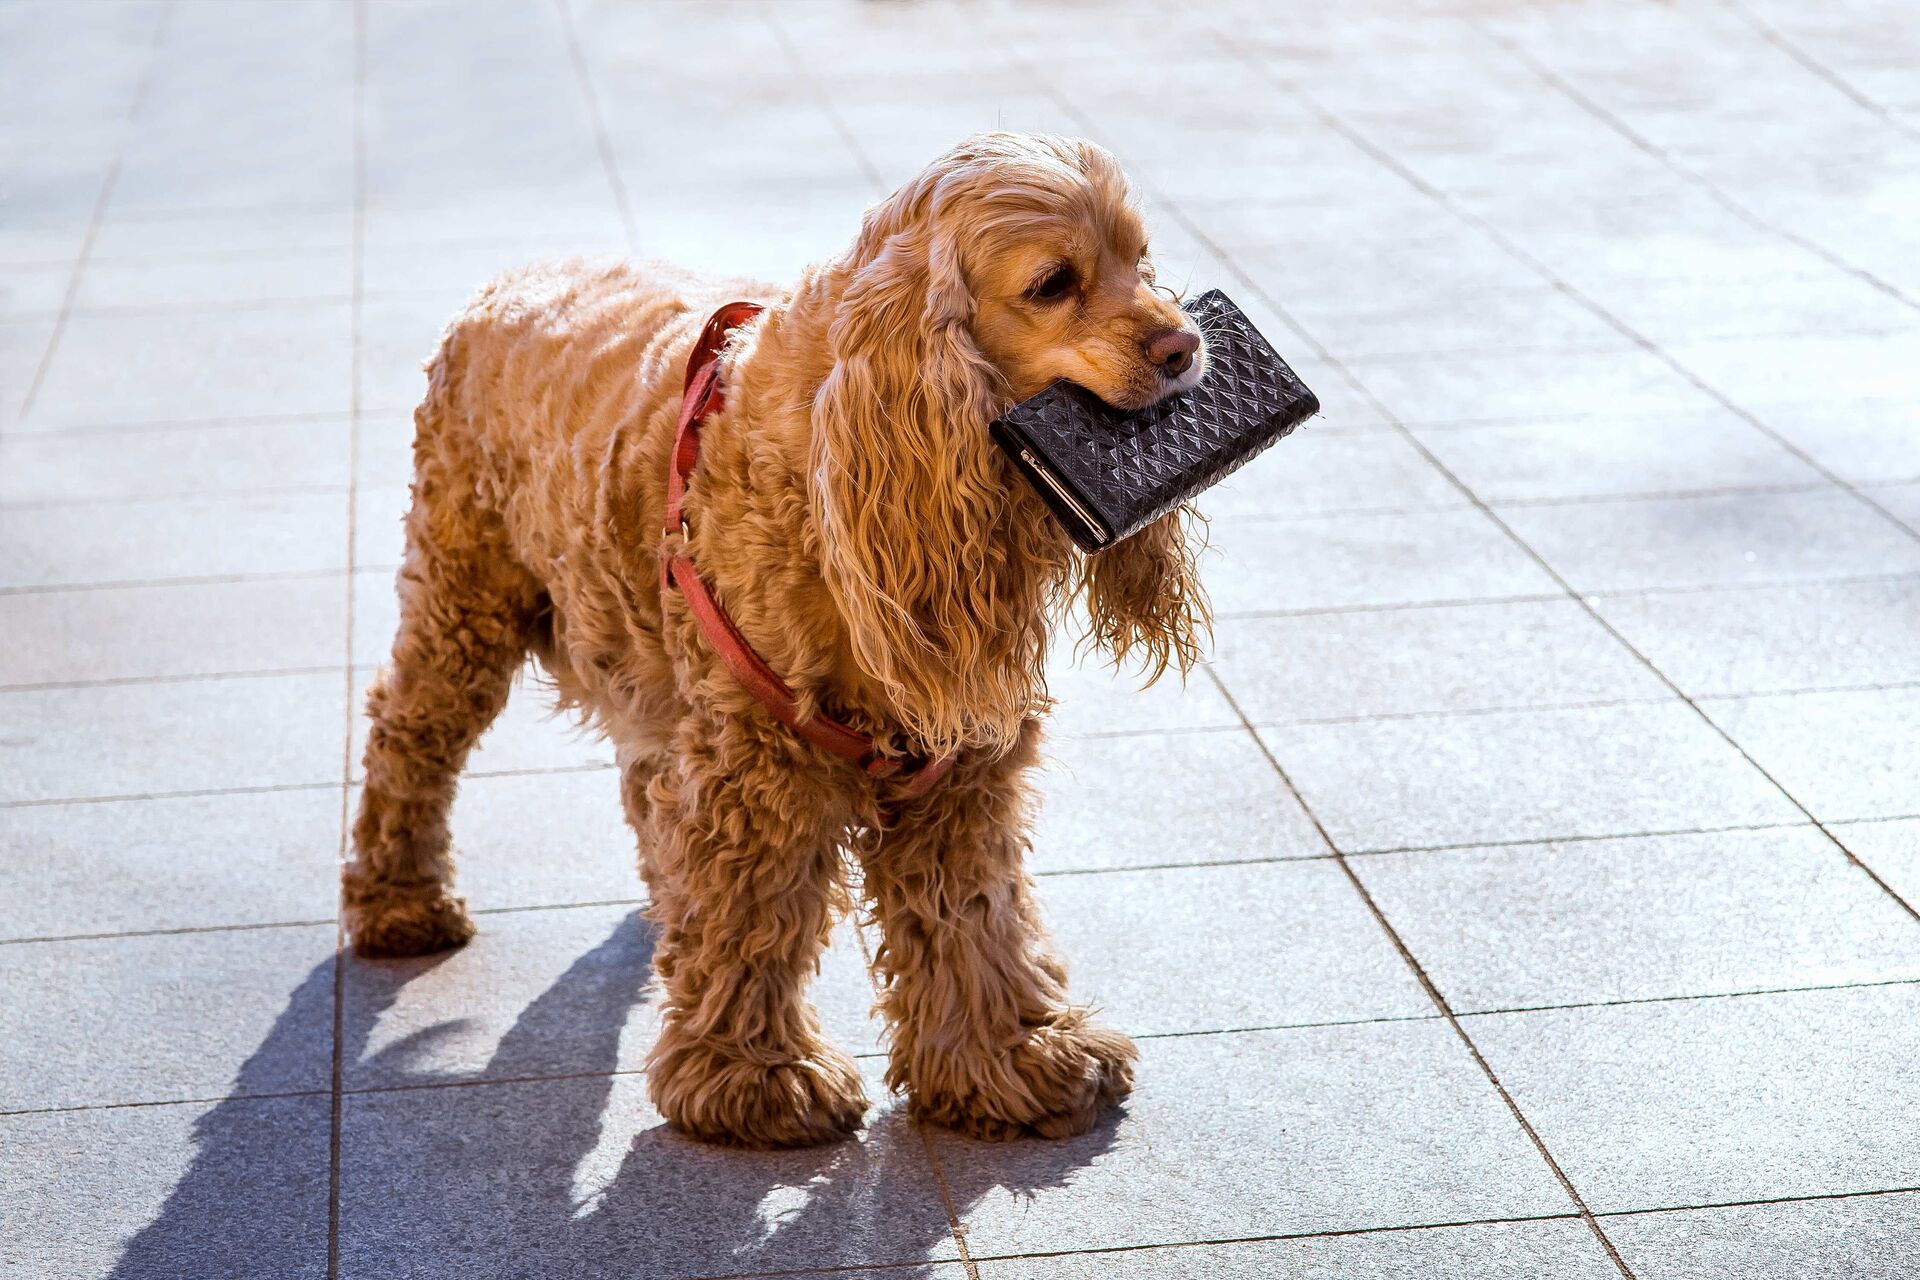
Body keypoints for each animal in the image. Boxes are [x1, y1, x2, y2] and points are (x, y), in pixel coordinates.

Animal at [343, 132, 1205, 1151]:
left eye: (1139, 261)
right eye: (1053, 283)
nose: (1187, 346)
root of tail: (508, 281)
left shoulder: (958, 766)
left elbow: (976, 913)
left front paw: (1014, 1058)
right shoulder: (760, 759)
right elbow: (754, 914)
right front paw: (754, 1079)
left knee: (641, 779)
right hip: (465, 597)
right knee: (408, 733)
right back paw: (399, 901)